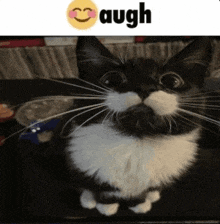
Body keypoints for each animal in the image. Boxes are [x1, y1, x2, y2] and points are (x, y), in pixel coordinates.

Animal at [50, 36, 215, 216]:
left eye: (172, 80)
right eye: (112, 79)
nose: (144, 87)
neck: (137, 140)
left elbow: (142, 191)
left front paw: (140, 203)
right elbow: (105, 190)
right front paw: (106, 207)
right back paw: (87, 199)